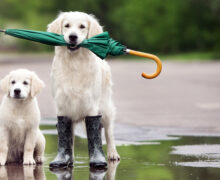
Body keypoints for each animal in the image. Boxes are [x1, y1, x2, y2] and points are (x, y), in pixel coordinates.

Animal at [47, 11, 119, 167]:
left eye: (82, 26)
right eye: (67, 26)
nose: (72, 37)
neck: (75, 62)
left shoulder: (91, 105)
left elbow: (96, 132)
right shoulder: (62, 105)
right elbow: (66, 135)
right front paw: (64, 159)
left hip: (106, 108)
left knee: (109, 133)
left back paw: (112, 154)